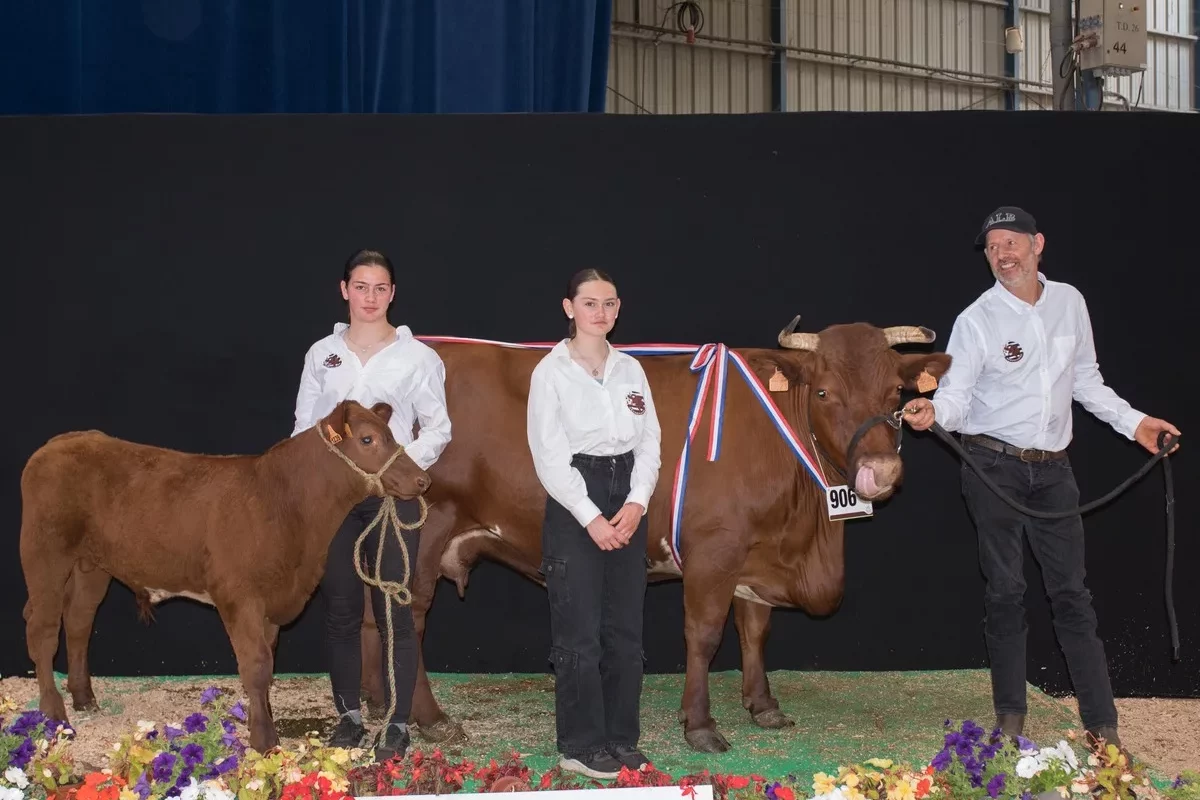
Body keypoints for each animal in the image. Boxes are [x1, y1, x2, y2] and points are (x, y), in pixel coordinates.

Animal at [18, 400, 432, 758]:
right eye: (367, 439)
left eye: (392, 434)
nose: (422, 480)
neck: (285, 503)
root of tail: (63, 441)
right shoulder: (239, 595)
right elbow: (256, 666)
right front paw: (264, 740)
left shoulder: (272, 599)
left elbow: (267, 664)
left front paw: (259, 722)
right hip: (44, 554)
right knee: (42, 630)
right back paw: (55, 715)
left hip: (92, 566)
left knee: (78, 622)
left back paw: (84, 697)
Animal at [352, 316, 945, 753]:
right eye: (823, 391)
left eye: (896, 391)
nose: (881, 472)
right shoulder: (714, 549)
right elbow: (704, 634)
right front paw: (700, 724)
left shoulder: (754, 553)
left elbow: (754, 630)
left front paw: (763, 705)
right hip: (425, 526)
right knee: (408, 615)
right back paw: (430, 717)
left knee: (371, 612)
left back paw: (378, 704)